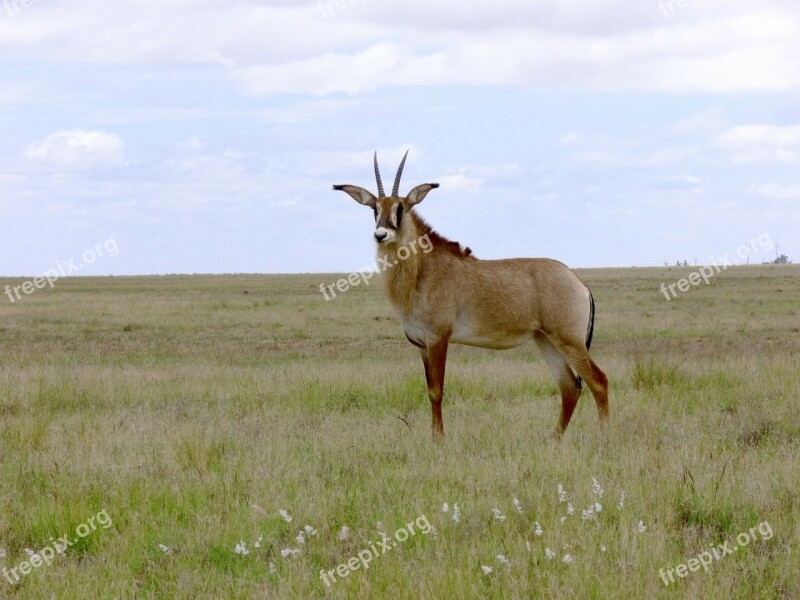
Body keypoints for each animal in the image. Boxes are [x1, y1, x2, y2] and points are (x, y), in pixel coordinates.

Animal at [334, 152, 608, 438]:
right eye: (375, 208)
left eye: (401, 207)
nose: (381, 234)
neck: (423, 270)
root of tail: (579, 284)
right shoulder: (422, 345)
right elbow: (429, 390)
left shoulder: (439, 339)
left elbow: (436, 392)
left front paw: (439, 440)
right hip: (546, 340)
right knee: (569, 387)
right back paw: (554, 440)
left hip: (569, 341)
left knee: (599, 381)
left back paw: (603, 438)